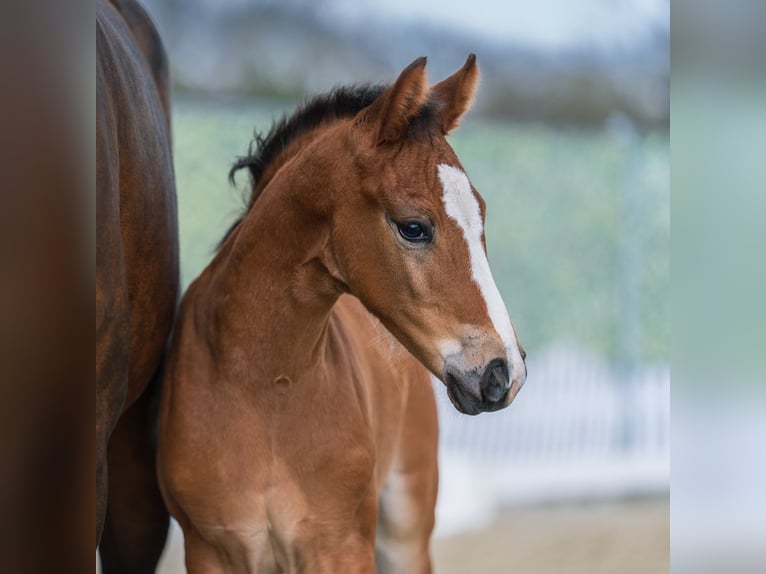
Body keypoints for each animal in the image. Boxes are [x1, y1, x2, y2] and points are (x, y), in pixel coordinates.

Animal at [158, 55, 526, 573]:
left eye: (481, 216)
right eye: (413, 227)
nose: (502, 373)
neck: (261, 387)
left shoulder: (342, 547)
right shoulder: (211, 550)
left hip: (406, 530)